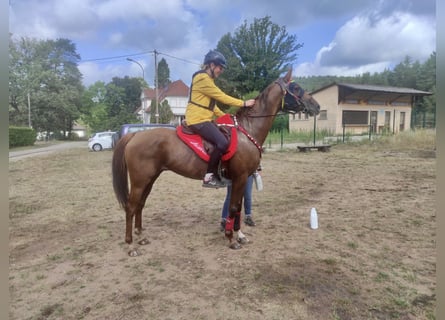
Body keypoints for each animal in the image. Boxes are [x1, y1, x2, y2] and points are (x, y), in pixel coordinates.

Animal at [111, 69, 320, 256]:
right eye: (296, 87)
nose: (316, 106)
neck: (247, 130)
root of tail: (136, 135)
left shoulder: (240, 180)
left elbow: (238, 208)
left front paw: (239, 235)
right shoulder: (240, 178)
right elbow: (234, 208)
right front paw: (230, 238)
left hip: (149, 179)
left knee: (140, 205)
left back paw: (140, 237)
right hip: (140, 181)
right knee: (131, 207)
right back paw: (130, 245)